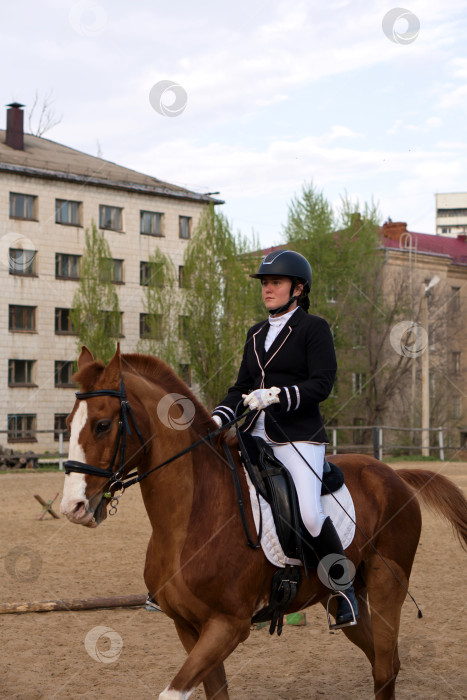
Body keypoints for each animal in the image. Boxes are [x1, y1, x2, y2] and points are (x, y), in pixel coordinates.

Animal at [61, 348, 467, 700]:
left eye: (102, 425)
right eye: (67, 424)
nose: (73, 507)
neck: (190, 517)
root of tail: (393, 474)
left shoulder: (229, 625)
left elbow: (171, 693)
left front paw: (263, 398)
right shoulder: (188, 627)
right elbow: (215, 692)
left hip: (387, 584)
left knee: (385, 667)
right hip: (340, 597)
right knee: (382, 661)